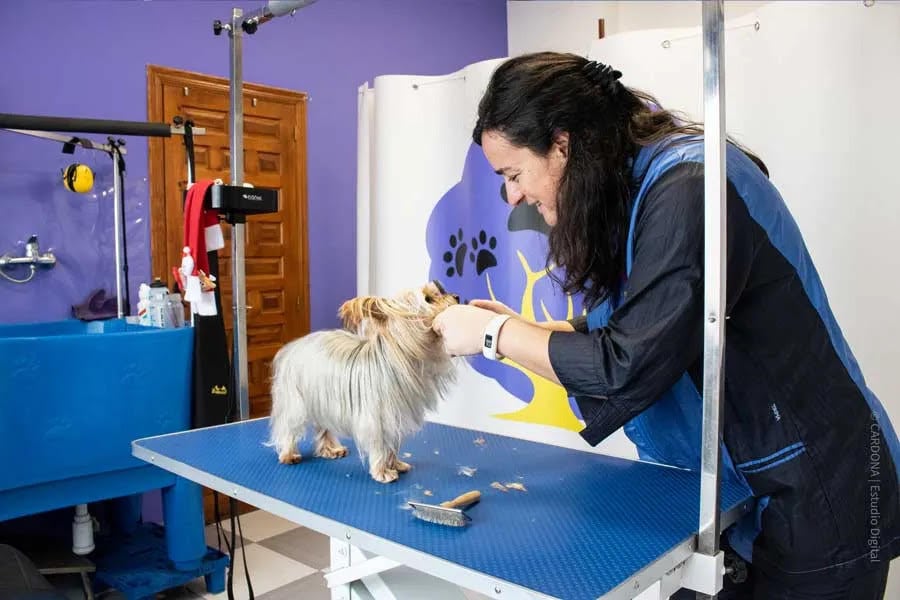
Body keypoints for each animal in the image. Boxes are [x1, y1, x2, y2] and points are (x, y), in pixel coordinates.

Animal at [266, 282, 458, 482]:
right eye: (428, 299)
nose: (457, 297)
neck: (403, 357)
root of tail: (293, 346)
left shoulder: (396, 416)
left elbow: (393, 443)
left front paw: (395, 464)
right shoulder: (378, 418)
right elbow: (380, 444)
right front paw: (382, 471)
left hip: (322, 398)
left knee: (323, 426)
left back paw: (330, 449)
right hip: (295, 399)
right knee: (289, 425)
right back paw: (288, 454)